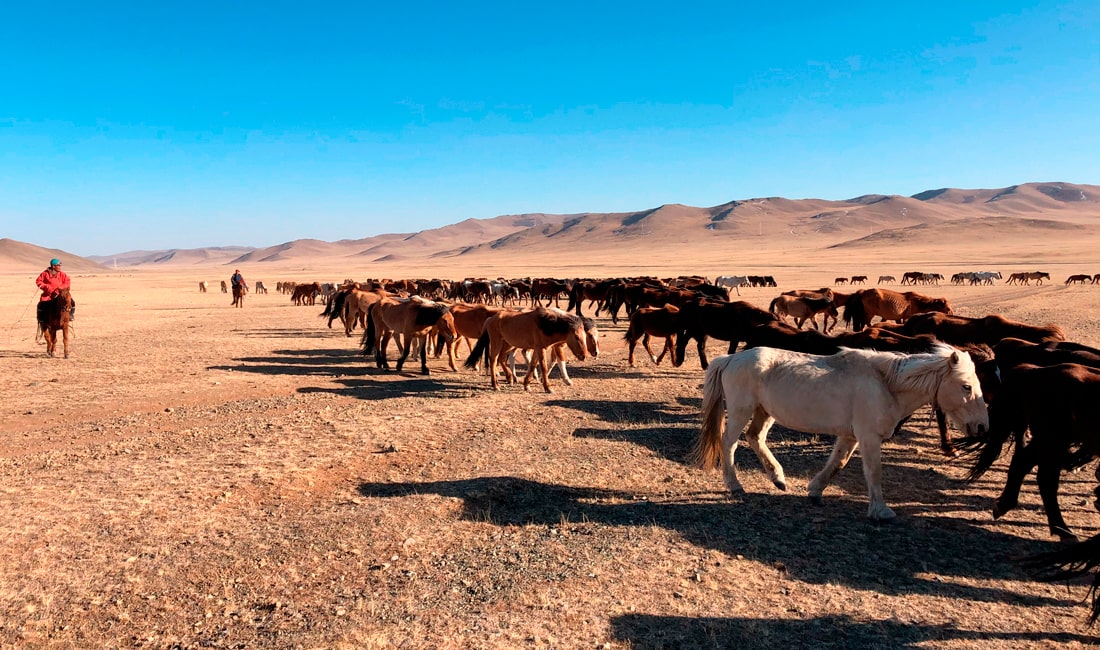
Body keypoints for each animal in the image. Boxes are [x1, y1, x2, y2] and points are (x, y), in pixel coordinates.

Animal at [695, 343, 990, 521]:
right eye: (966, 386)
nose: (982, 427)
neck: (886, 384)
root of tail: (732, 358)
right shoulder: (868, 437)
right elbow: (874, 472)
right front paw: (881, 510)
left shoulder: (850, 436)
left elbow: (838, 462)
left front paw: (815, 490)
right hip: (741, 410)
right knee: (729, 443)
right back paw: (735, 485)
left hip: (764, 412)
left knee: (755, 437)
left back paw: (778, 478)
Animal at [959, 362, 1100, 541]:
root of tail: (1034, 371)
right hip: (1051, 440)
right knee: (1042, 478)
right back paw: (1063, 530)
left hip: (1049, 442)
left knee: (1023, 463)